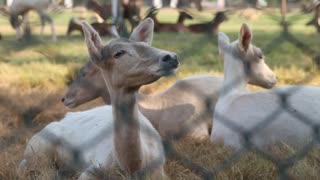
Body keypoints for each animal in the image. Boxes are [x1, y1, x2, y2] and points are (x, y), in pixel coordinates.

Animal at [19, 17, 175, 179]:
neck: (133, 167)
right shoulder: (93, 168)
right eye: (119, 53)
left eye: (146, 45)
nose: (170, 57)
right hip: (36, 148)